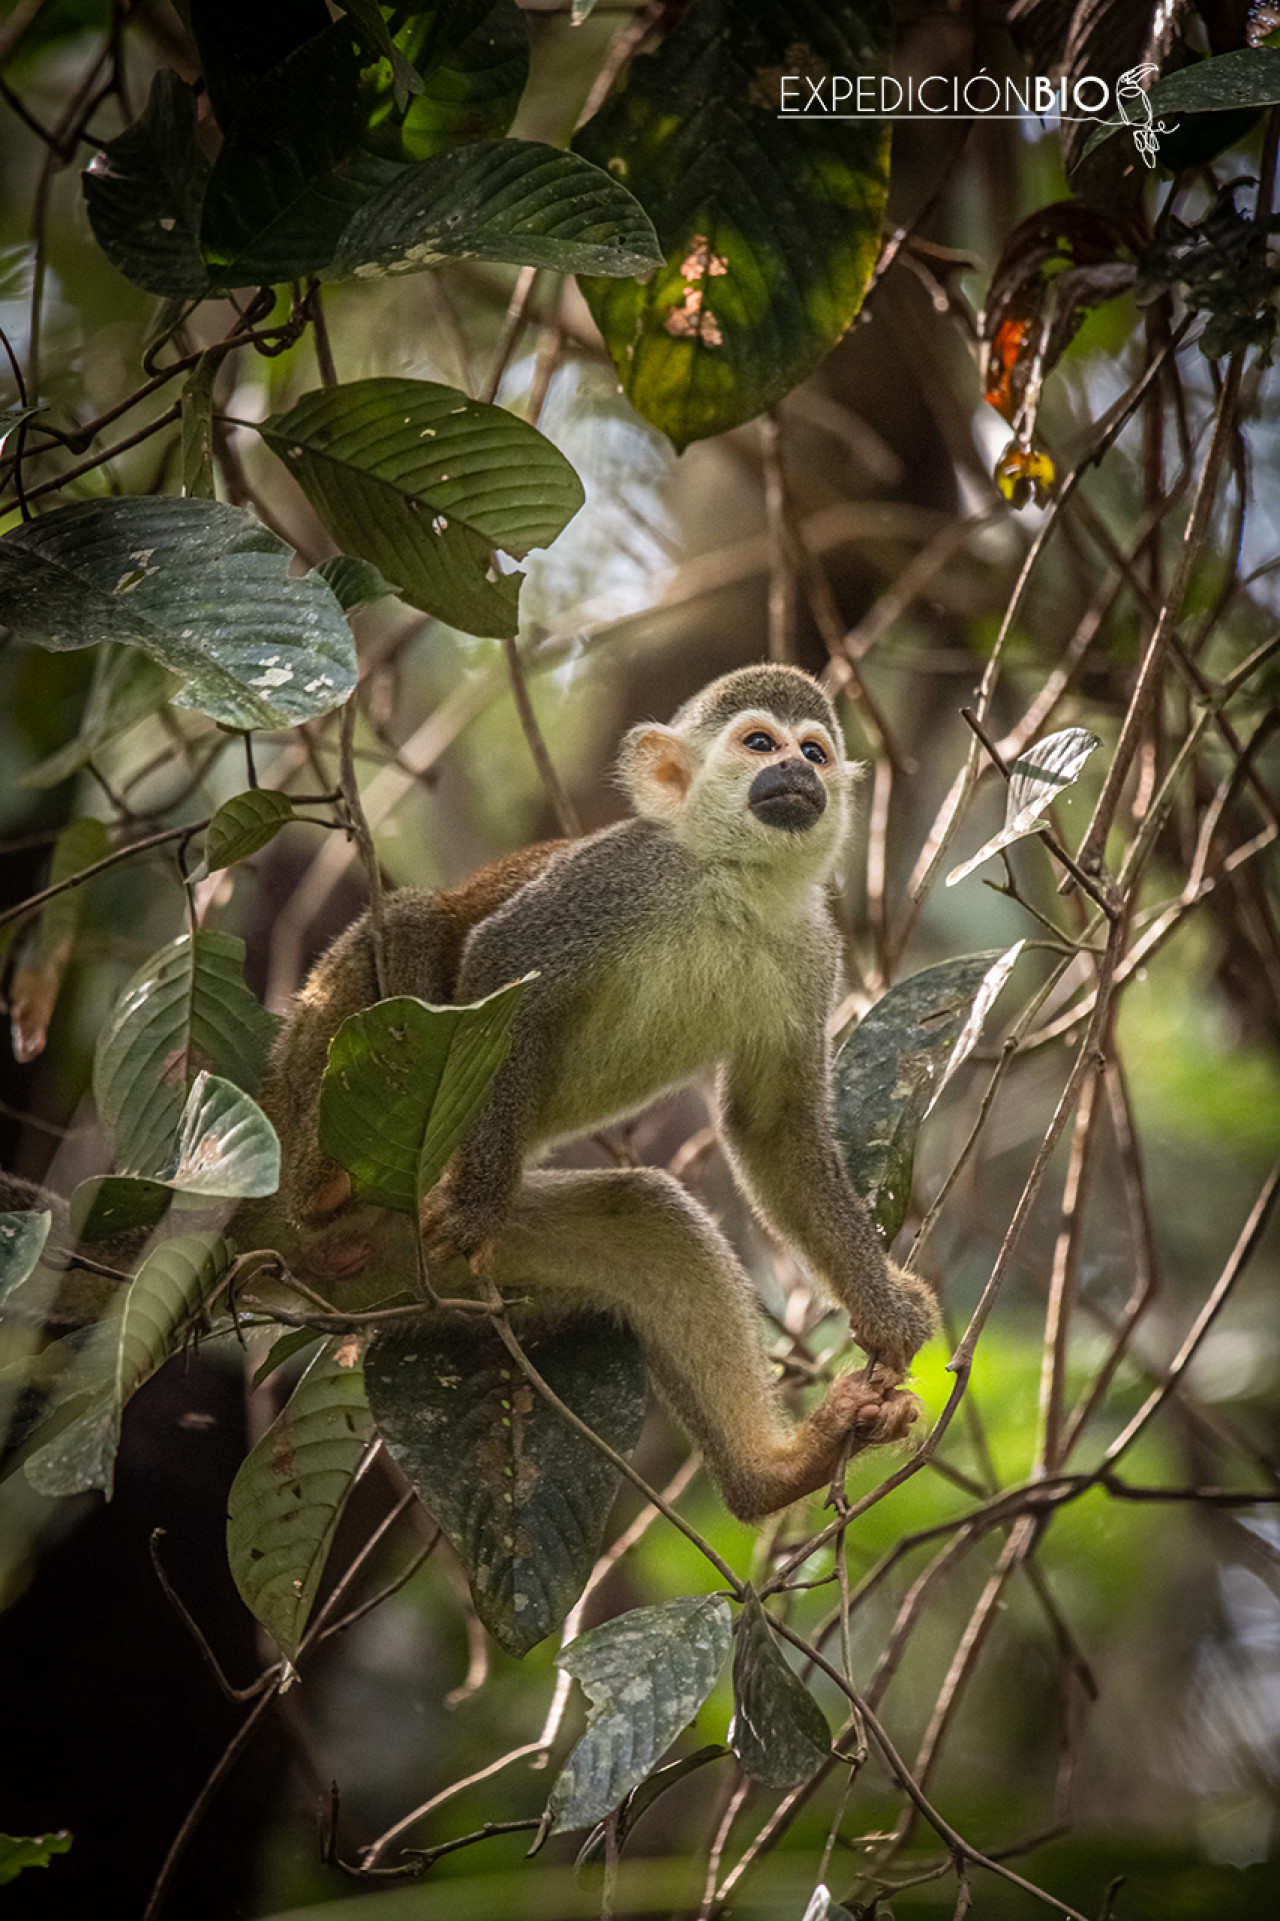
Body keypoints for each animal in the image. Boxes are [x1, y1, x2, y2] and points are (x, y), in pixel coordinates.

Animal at [258, 664, 938, 1521]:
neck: (733, 883)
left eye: (813, 750)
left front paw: (881, 1306)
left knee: (650, 1223)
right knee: (415, 920)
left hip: (415, 1280)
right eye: (760, 743)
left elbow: (771, 1125)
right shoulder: (618, 874)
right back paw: (330, 1182)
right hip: (306, 1124)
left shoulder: (813, 950)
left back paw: (776, 1473)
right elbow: (499, 966)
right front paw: (475, 1199)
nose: (797, 772)